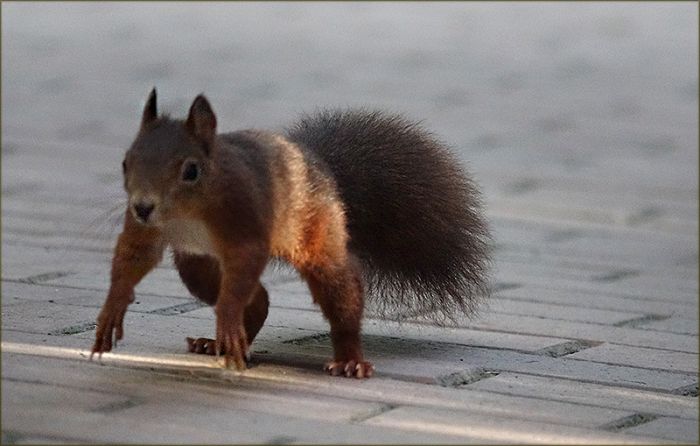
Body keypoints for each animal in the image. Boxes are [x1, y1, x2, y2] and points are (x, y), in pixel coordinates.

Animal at [91, 89, 491, 378]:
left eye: (191, 171)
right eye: (125, 162)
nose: (143, 207)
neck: (187, 214)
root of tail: (321, 169)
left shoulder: (245, 219)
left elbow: (241, 271)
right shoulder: (145, 232)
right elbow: (133, 256)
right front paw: (112, 308)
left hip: (316, 238)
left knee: (339, 292)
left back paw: (348, 358)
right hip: (198, 265)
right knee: (257, 299)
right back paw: (223, 340)